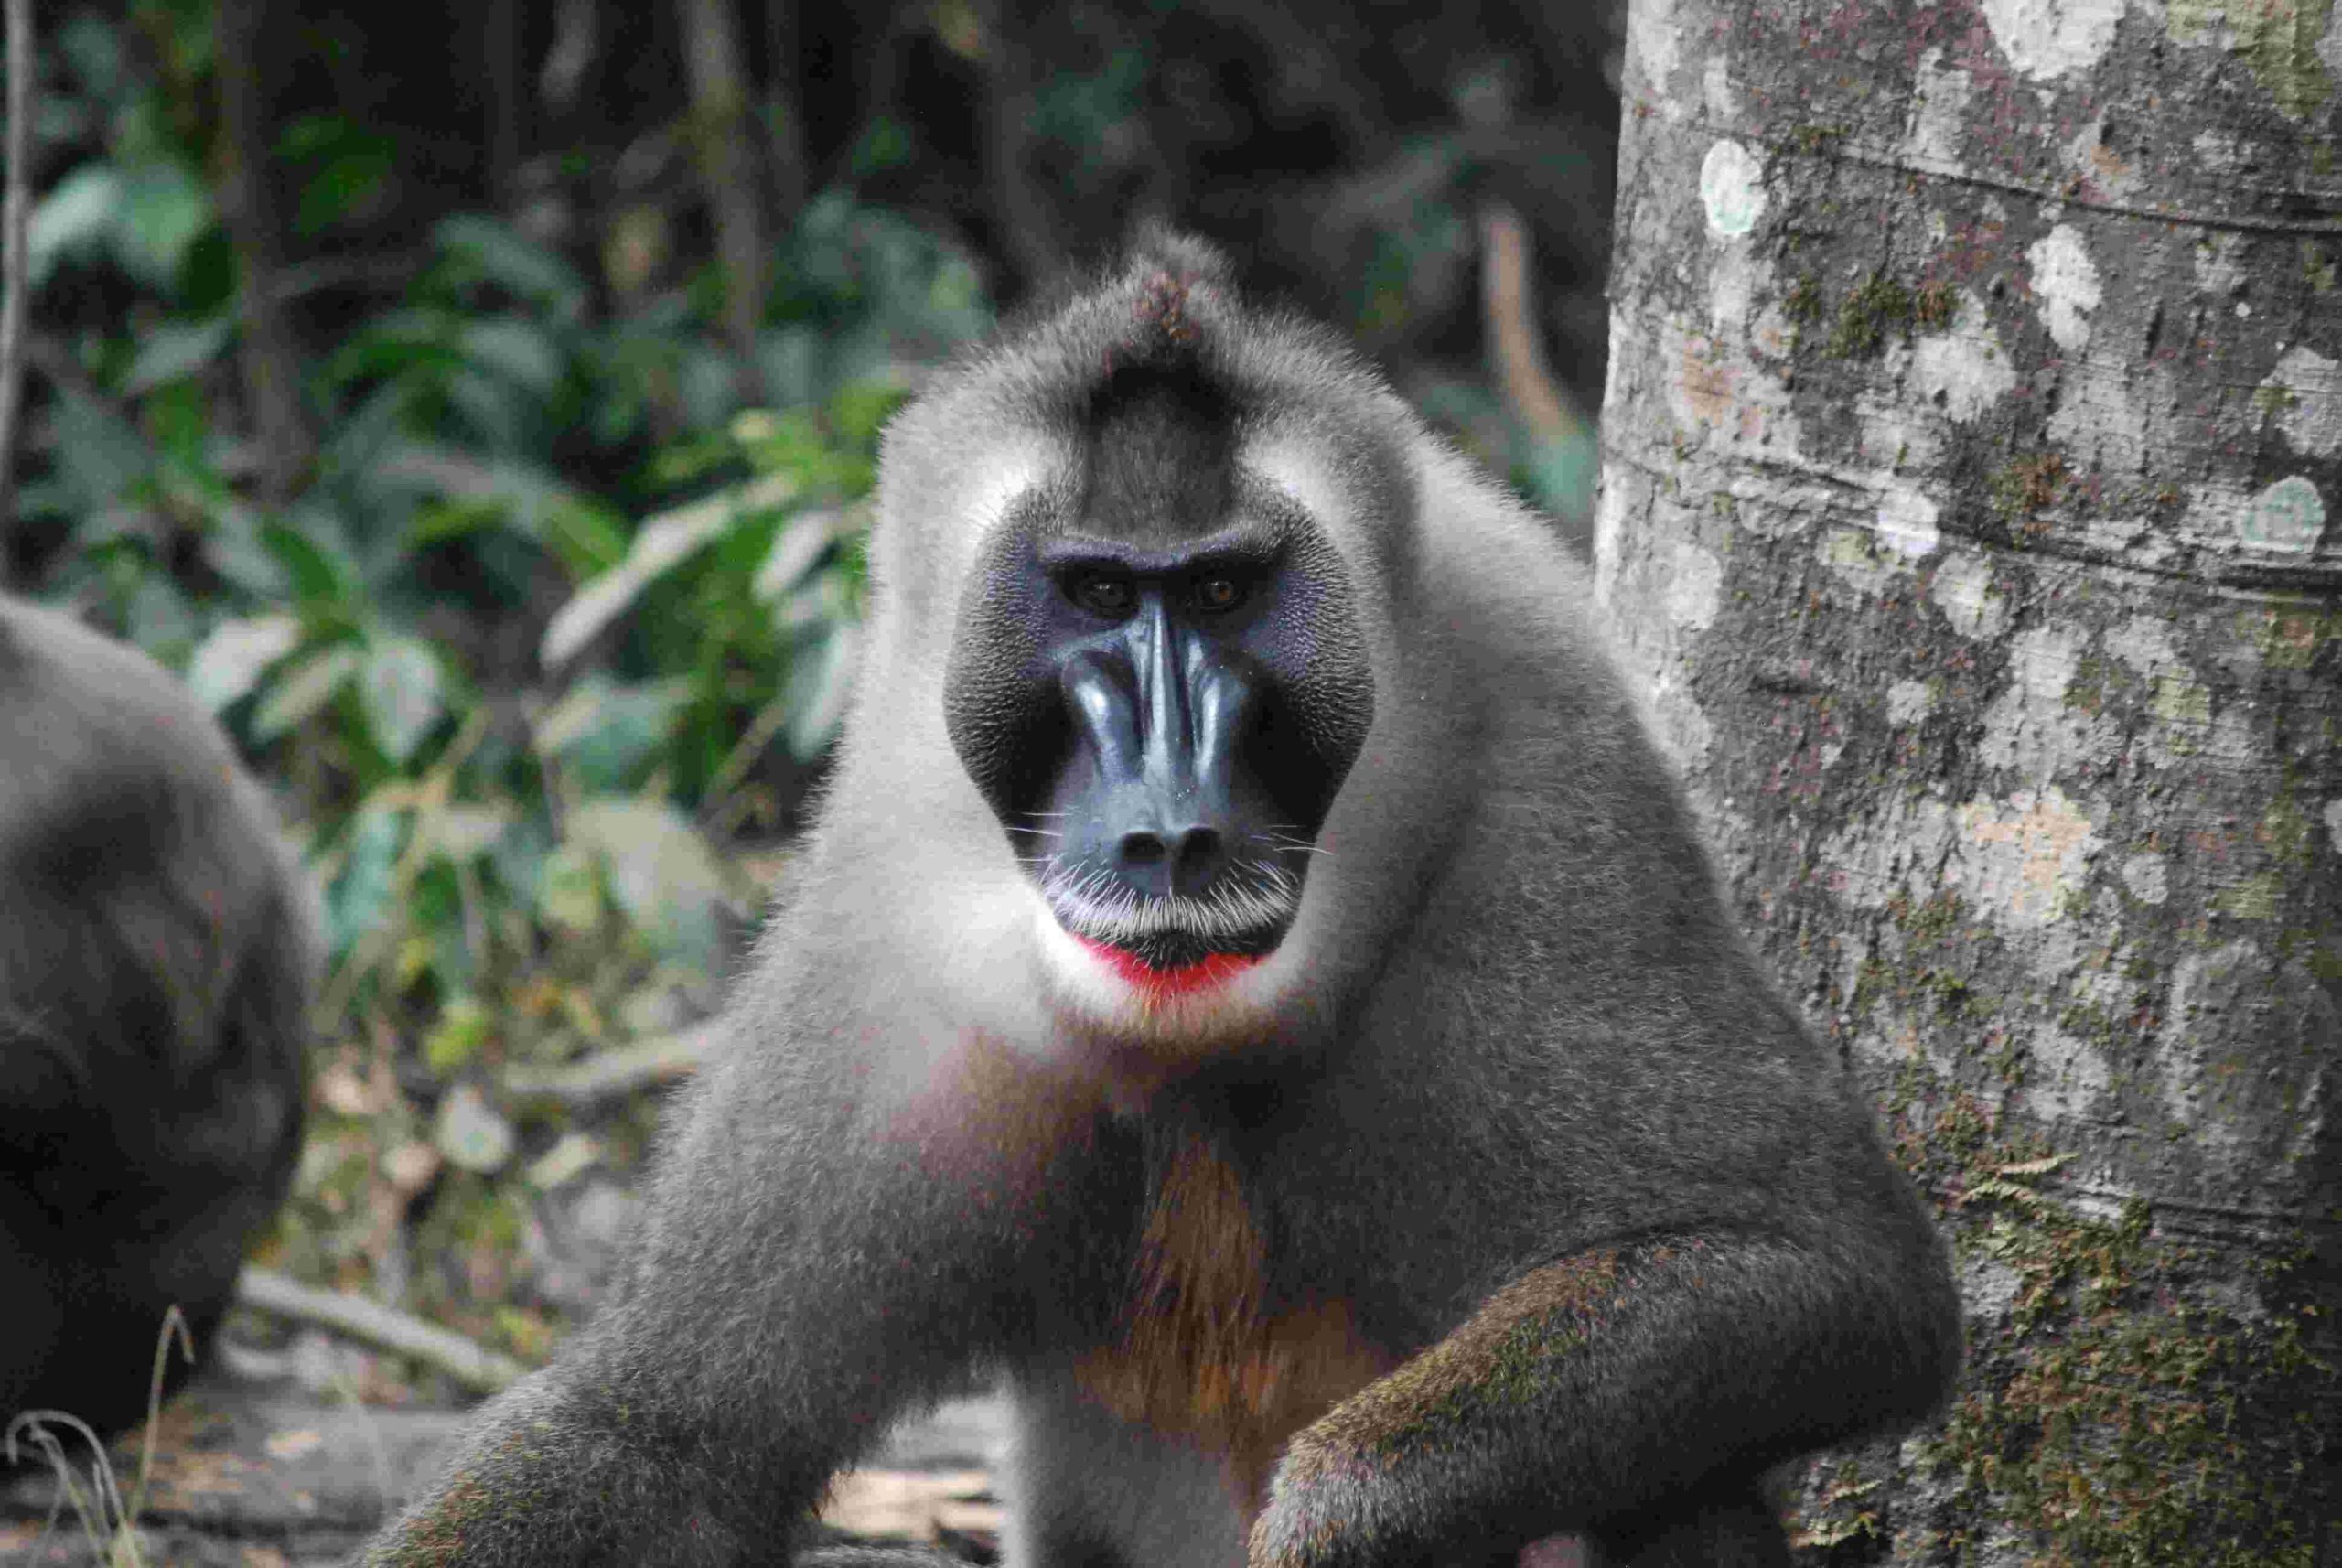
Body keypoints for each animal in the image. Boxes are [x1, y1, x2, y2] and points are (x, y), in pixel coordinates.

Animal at [361, 233, 1960, 1568]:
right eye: (1096, 594)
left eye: (1226, 593)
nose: (1172, 829)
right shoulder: (885, 947)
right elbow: (657, 1435)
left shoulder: (1551, 783)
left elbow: (1826, 1270)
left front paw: (1339, 1523)